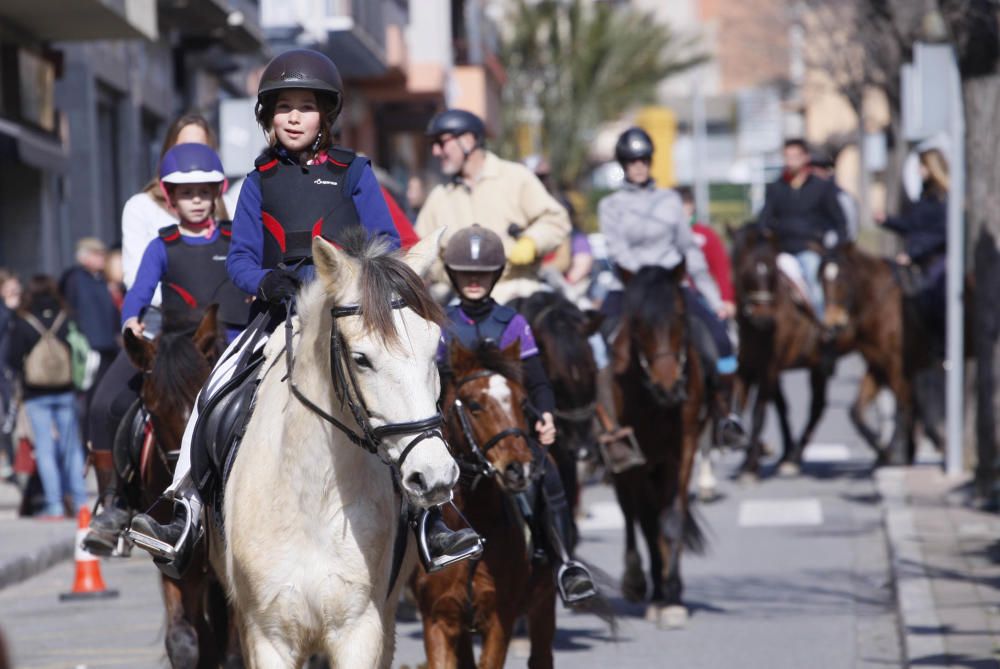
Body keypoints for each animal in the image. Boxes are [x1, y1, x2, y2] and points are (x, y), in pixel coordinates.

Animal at [217, 230, 458, 664]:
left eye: (435, 349)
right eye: (362, 359)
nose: (434, 475)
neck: (311, 495)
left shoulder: (359, 630)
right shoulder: (268, 634)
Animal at [410, 342, 560, 664]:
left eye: (522, 401)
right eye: (474, 405)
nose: (519, 468)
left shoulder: (499, 620)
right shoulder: (438, 620)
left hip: (543, 601)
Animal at [612, 264, 708, 628]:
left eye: (680, 315)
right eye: (638, 321)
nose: (668, 387)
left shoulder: (683, 450)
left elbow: (672, 517)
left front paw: (673, 594)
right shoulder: (637, 456)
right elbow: (648, 521)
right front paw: (655, 592)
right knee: (631, 513)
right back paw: (638, 581)